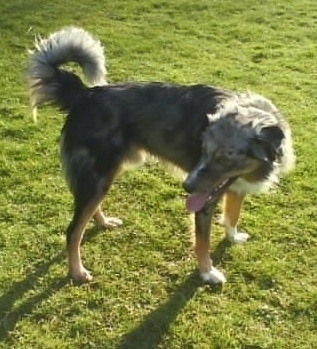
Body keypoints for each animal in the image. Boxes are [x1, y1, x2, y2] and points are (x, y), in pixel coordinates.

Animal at [26, 27, 294, 282]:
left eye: (225, 156)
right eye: (203, 149)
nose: (187, 186)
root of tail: (85, 94)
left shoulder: (235, 188)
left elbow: (232, 216)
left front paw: (233, 237)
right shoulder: (205, 202)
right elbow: (203, 241)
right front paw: (207, 272)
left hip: (104, 175)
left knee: (88, 212)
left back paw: (103, 222)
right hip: (98, 175)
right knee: (73, 230)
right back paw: (77, 272)